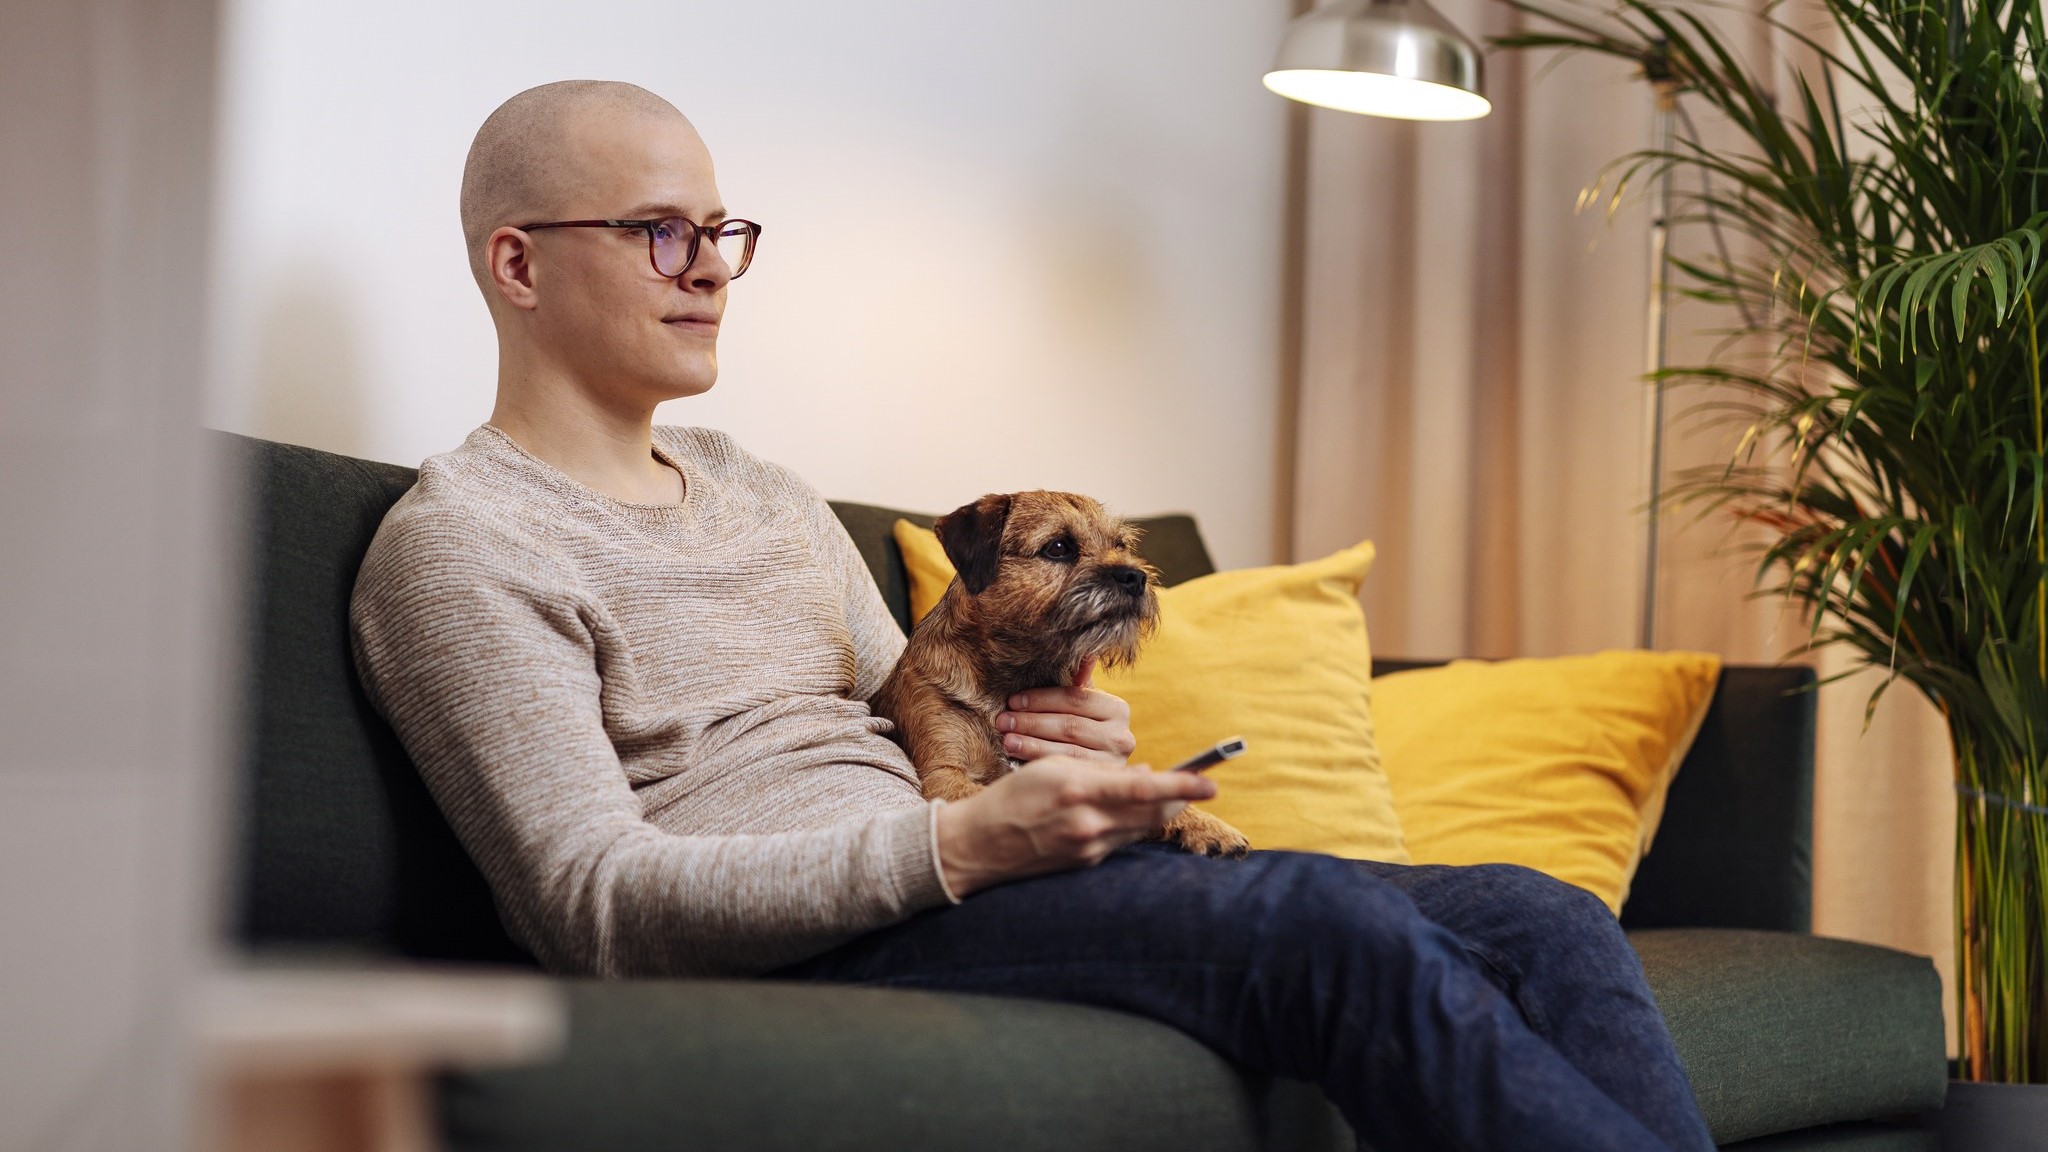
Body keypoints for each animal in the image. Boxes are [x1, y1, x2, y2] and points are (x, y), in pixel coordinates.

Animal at [868, 487, 1245, 856]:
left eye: (1120, 546)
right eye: (1059, 547)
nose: (1136, 577)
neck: (1016, 677)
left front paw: (1209, 825)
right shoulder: (943, 775)